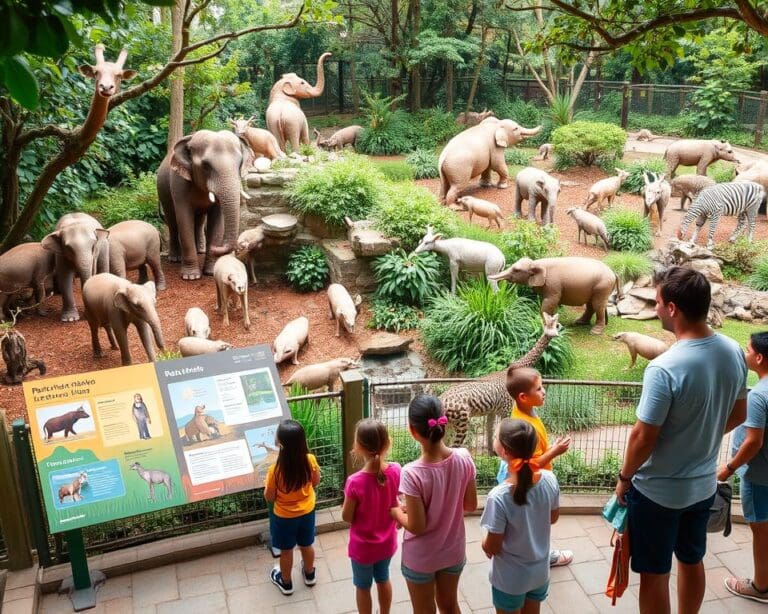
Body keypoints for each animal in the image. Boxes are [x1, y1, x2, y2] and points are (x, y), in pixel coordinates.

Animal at [157, 132, 255, 284]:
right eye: (205, 165)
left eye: (240, 164)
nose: (216, 248)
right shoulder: (179, 183)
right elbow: (184, 219)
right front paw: (191, 277)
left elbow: (217, 219)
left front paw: (210, 272)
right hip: (163, 192)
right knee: (172, 221)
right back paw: (175, 258)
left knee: (199, 220)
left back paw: (200, 251)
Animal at [440, 312, 560, 452]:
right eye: (556, 324)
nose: (560, 330)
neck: (512, 370)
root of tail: (440, 400)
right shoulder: (505, 411)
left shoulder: (492, 412)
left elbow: (490, 437)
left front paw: (492, 454)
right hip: (462, 422)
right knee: (453, 447)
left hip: (448, 425)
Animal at [488, 258, 620, 340]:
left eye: (516, 270)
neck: (536, 263)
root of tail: (614, 273)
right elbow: (549, 304)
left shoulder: (553, 285)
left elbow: (550, 302)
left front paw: (543, 324)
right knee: (591, 305)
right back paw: (579, 322)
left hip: (602, 287)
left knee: (598, 305)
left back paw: (595, 332)